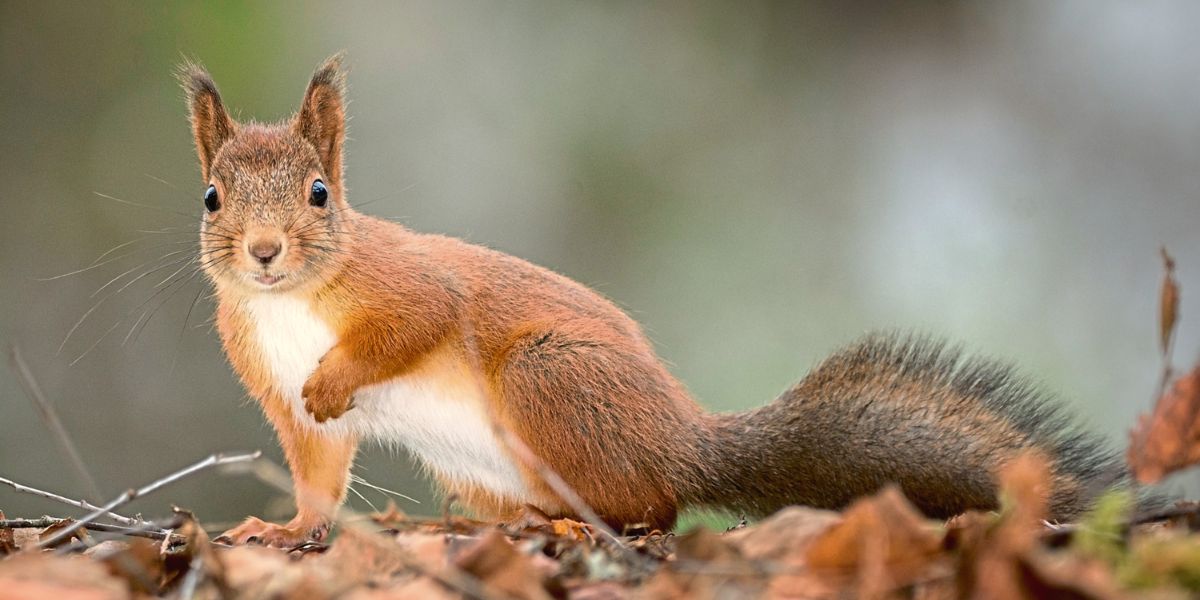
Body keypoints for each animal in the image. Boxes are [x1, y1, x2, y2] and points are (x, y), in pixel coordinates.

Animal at [177, 54, 1123, 547]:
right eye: (212, 198)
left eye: (319, 194)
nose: (264, 253)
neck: (289, 304)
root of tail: (683, 441)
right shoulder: (278, 394)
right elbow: (316, 474)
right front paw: (280, 530)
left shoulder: (408, 284)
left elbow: (416, 323)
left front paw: (337, 379)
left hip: (550, 378)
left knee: (655, 507)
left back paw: (576, 522)